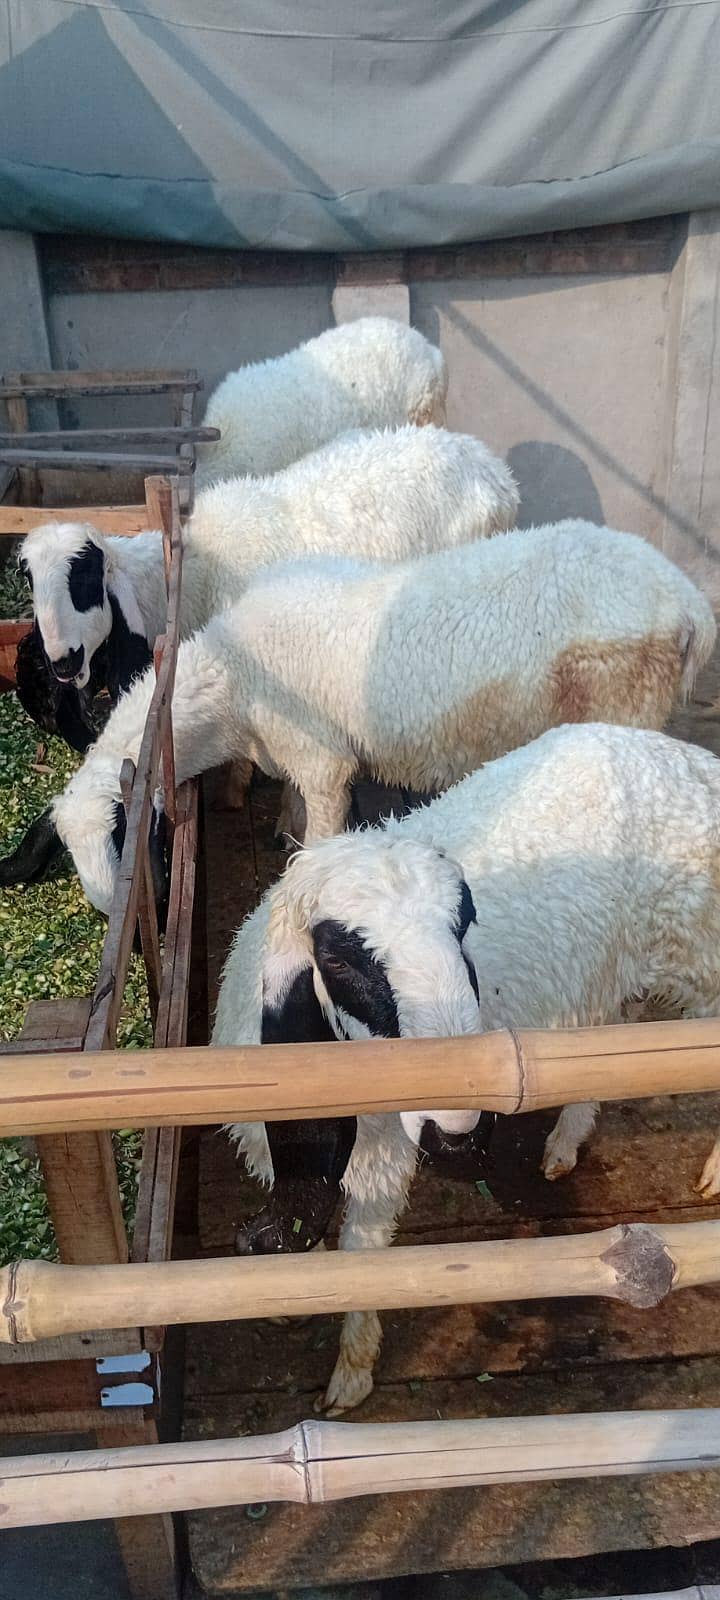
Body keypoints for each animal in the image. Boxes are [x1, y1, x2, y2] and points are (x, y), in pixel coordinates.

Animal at [1, 517, 713, 911]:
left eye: (128, 836)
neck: (232, 680)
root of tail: (688, 604)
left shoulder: (324, 764)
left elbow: (320, 827)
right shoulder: (293, 756)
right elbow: (292, 809)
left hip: (625, 703)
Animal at [219, 720, 720, 1415]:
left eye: (464, 927)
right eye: (337, 958)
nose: (458, 1132)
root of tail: (684, 756)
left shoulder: (380, 1163)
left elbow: (361, 1257)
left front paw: (351, 1374)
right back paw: (564, 1144)